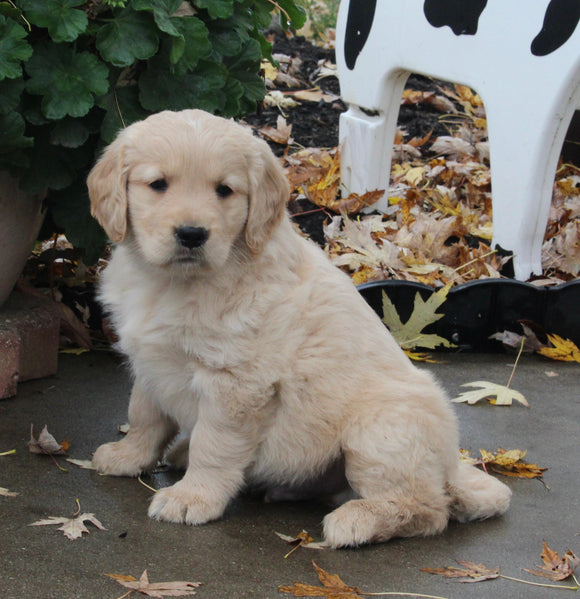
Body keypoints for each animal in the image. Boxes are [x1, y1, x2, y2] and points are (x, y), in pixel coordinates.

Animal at [87, 109, 512, 548]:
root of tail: (450, 468)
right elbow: (144, 415)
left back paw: (359, 520)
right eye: (158, 184)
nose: (192, 234)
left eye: (225, 190)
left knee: (429, 509)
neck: (174, 283)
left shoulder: (236, 383)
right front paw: (127, 456)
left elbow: (214, 445)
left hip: (380, 429)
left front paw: (193, 497)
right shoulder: (150, 362)